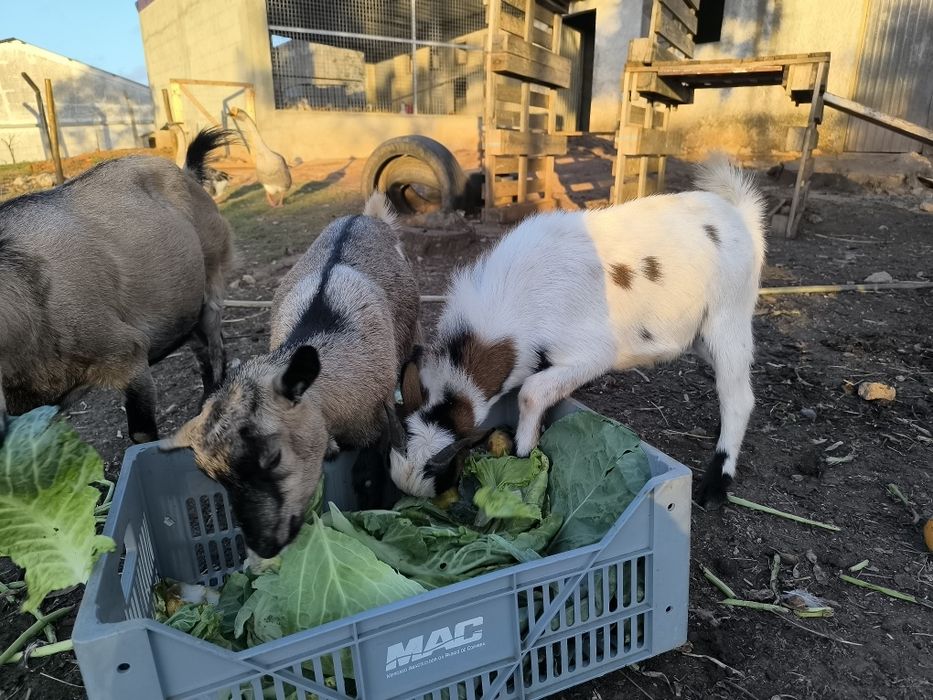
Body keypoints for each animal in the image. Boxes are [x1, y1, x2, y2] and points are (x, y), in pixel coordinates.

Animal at [163, 193, 420, 557]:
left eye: (274, 458)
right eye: (212, 478)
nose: (265, 546)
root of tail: (363, 216)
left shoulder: (378, 418)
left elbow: (368, 475)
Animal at [387, 157, 765, 507]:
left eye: (444, 463)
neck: (513, 303)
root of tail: (739, 214)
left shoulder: (592, 353)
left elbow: (531, 391)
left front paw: (524, 450)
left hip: (729, 315)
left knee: (739, 397)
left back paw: (715, 485)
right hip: (699, 333)